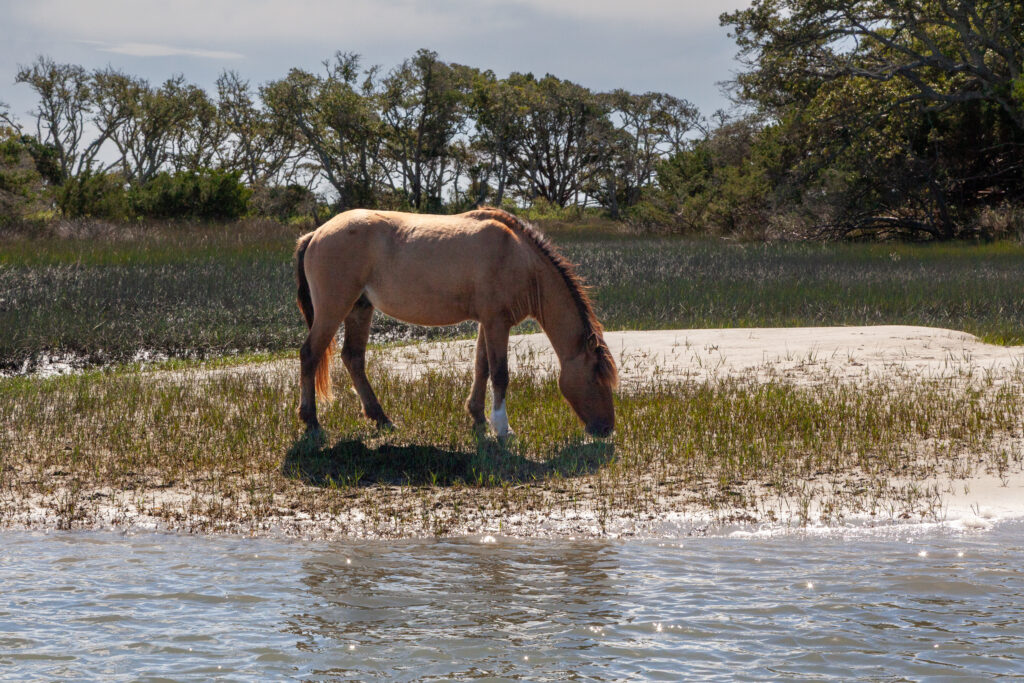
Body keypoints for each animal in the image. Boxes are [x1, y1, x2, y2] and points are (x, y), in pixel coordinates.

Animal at [294, 207, 618, 438]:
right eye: (596, 377)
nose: (606, 429)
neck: (519, 257)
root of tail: (316, 233)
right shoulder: (497, 324)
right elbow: (500, 374)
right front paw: (503, 428)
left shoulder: (488, 323)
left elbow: (481, 368)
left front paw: (478, 417)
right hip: (334, 309)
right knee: (310, 354)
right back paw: (312, 421)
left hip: (360, 309)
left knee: (353, 358)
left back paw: (382, 419)